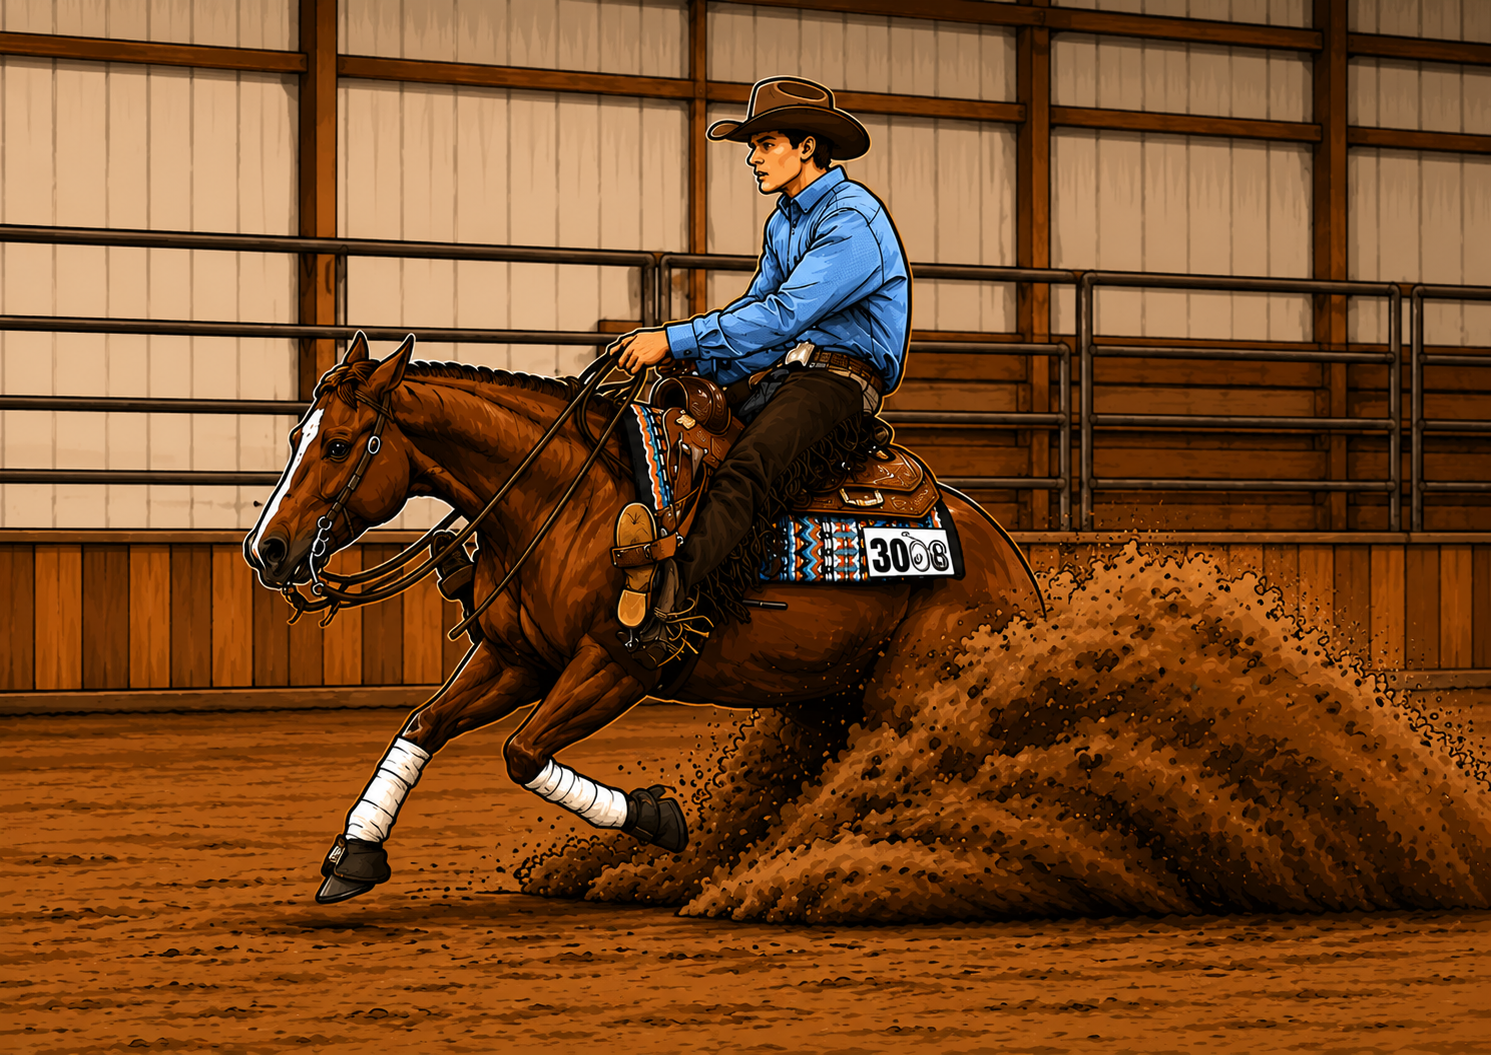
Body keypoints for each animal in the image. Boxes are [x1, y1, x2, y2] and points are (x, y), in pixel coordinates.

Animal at [243, 333, 1042, 904]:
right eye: (295, 439)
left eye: (338, 444)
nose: (266, 548)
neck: (562, 495)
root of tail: (1011, 561)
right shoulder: (514, 658)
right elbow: (422, 726)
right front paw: (354, 855)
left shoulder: (614, 662)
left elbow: (521, 753)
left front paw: (660, 818)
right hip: (832, 696)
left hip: (913, 686)